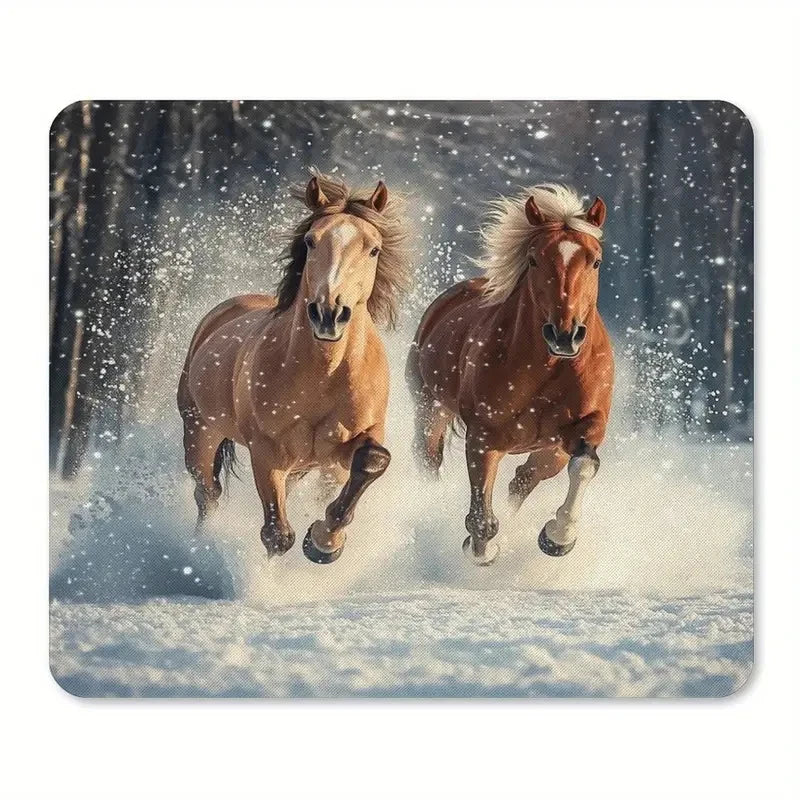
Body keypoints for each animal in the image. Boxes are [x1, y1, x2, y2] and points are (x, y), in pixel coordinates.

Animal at [178, 172, 411, 563]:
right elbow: (277, 535)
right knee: (207, 493)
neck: (324, 373)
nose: (329, 313)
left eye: (374, 249)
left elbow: (373, 459)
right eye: (310, 241)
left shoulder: (349, 446)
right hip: (200, 431)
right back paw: (198, 547)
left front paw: (324, 541)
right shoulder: (267, 451)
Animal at [406, 184, 614, 565]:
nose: (564, 335)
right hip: (431, 408)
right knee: (429, 459)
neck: (549, 368)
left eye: (595, 260)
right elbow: (481, 518)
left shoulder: (586, 426)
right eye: (534, 259)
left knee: (524, 477)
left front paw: (558, 537)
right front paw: (482, 550)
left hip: (549, 450)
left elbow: (584, 465)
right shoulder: (484, 436)